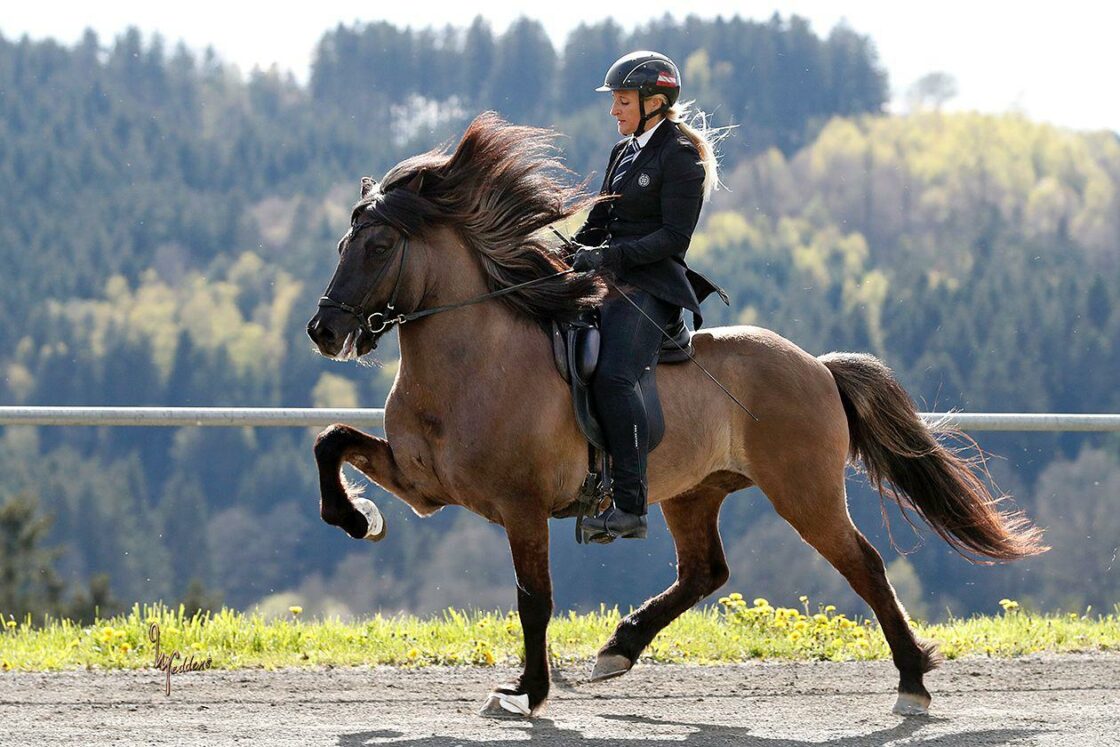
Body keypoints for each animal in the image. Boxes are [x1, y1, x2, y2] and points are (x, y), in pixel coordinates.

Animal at [302, 109, 1043, 716]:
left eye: (377, 247)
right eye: (342, 245)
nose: (324, 331)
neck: (472, 358)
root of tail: (816, 366)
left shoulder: (521, 505)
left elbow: (533, 599)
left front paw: (526, 692)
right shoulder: (425, 485)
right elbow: (331, 440)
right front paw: (358, 517)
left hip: (803, 490)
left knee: (863, 563)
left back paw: (913, 680)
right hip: (693, 490)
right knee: (705, 571)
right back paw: (618, 649)